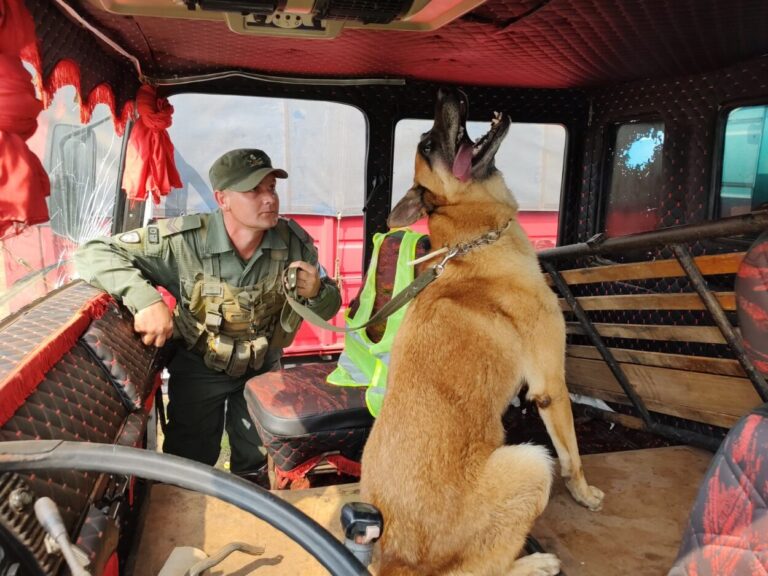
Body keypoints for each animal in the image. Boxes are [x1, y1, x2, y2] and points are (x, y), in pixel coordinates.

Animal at [362, 89, 608, 576]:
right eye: (427, 145)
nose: (446, 93)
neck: (474, 244)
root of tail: (398, 558)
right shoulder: (551, 386)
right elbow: (572, 454)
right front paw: (584, 493)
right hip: (531, 461)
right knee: (484, 568)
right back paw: (535, 563)